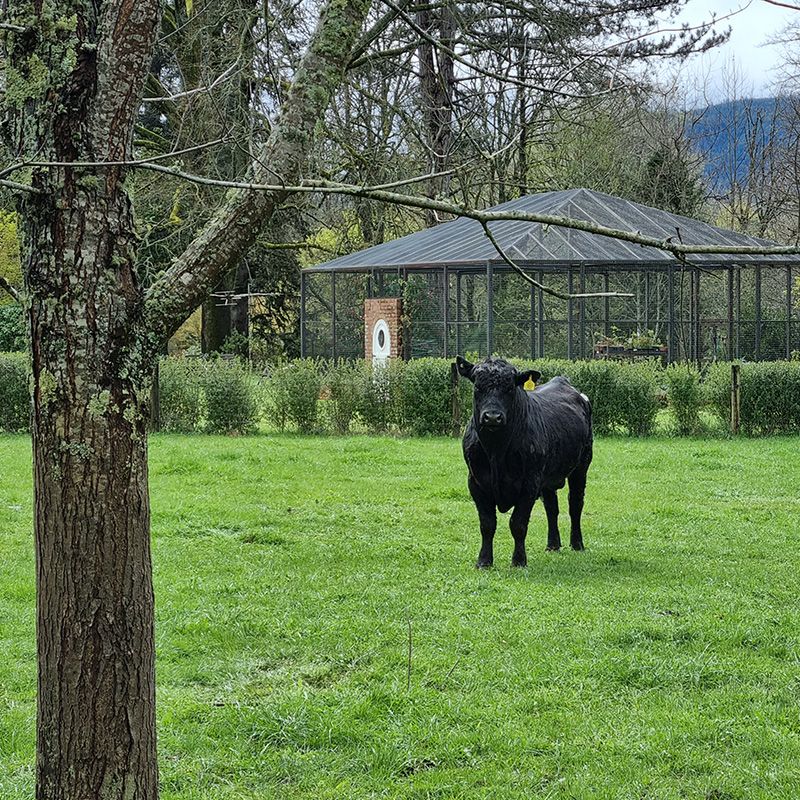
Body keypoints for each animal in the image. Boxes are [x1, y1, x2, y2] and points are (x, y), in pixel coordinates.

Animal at [455, 356, 593, 568]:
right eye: (477, 387)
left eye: (510, 388)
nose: (492, 417)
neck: (496, 451)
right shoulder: (476, 482)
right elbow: (487, 524)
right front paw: (484, 561)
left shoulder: (529, 484)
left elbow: (518, 524)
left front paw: (519, 560)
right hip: (547, 478)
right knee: (552, 508)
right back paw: (553, 544)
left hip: (581, 466)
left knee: (575, 505)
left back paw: (577, 543)